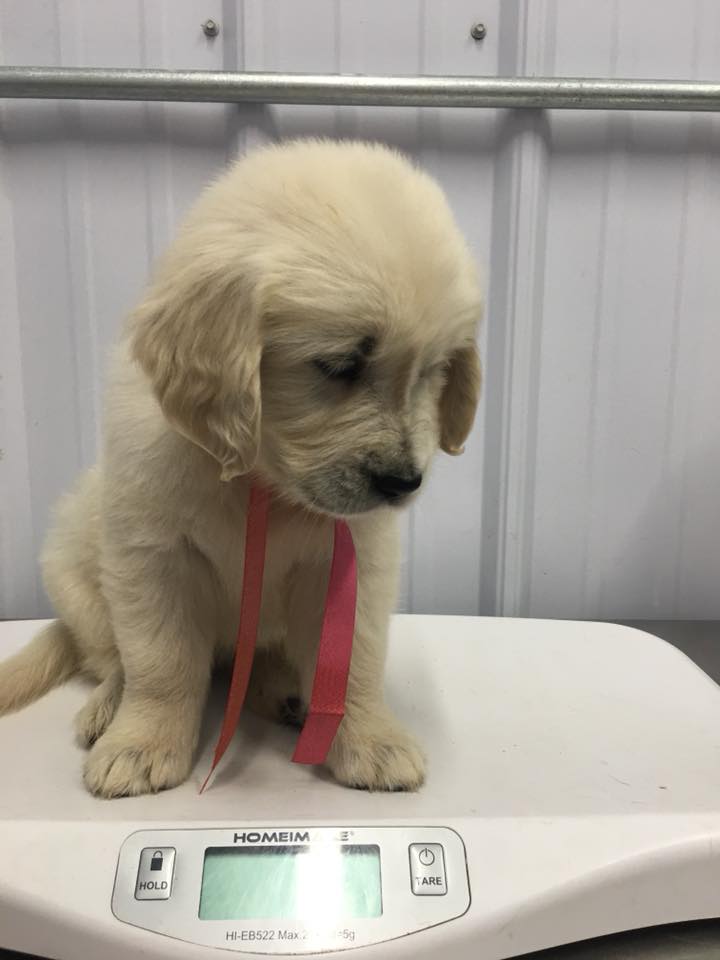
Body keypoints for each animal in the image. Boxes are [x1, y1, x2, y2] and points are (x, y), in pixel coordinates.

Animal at [2, 137, 484, 796]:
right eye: (338, 366)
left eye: (435, 371)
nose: (403, 483)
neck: (261, 481)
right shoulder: (154, 558)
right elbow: (161, 660)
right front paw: (143, 744)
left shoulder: (353, 565)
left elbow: (354, 662)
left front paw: (370, 740)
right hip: (74, 576)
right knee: (110, 658)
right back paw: (110, 708)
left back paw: (286, 693)